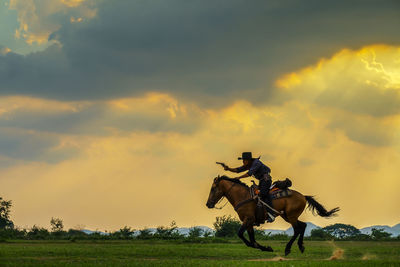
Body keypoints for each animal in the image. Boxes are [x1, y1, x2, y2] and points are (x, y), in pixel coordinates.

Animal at [206, 176, 340, 255]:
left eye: (213, 188)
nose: (208, 204)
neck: (243, 196)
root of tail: (303, 196)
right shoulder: (249, 222)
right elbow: (252, 239)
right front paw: (265, 248)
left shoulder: (248, 219)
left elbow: (241, 235)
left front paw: (265, 248)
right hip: (287, 216)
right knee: (303, 226)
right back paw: (301, 246)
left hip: (291, 216)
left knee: (297, 229)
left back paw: (287, 249)